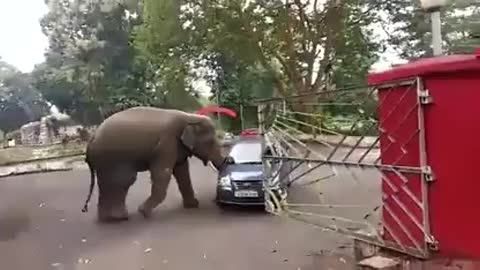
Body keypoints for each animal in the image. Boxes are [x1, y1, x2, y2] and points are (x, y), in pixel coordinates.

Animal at [81, 106, 229, 223]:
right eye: (210, 141)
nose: (214, 201)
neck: (189, 116)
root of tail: (91, 139)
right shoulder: (166, 143)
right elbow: (163, 173)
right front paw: (143, 212)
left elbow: (182, 172)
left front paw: (193, 205)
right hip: (112, 157)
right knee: (123, 180)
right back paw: (119, 218)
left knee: (108, 184)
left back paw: (110, 219)